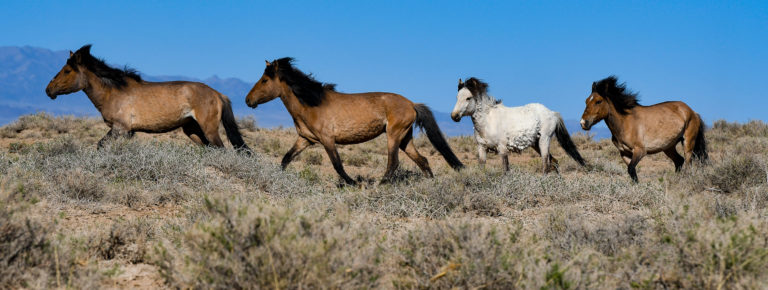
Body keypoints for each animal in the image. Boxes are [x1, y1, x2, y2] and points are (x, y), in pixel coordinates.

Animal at [45, 44, 249, 152]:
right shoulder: (126, 132)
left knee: (220, 149)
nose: (49, 90)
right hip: (191, 129)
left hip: (209, 129)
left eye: (67, 70)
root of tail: (217, 94)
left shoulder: (120, 128)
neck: (114, 91)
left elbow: (101, 144)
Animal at [246, 57, 462, 185]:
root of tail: (411, 104)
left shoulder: (327, 139)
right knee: (422, 160)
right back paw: (431, 183)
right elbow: (286, 158)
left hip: (394, 135)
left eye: (265, 80)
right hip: (405, 139)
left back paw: (381, 184)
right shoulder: (305, 139)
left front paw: (353, 183)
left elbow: (337, 165)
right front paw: (276, 177)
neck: (311, 103)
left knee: (393, 163)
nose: (248, 100)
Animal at [448, 77, 584, 172]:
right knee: (554, 162)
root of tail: (552, 113)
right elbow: (482, 169)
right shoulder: (482, 148)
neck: (488, 121)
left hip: (544, 140)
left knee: (546, 163)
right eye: (457, 97)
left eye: (468, 98)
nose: (454, 116)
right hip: (535, 143)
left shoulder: (502, 148)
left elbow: (505, 170)